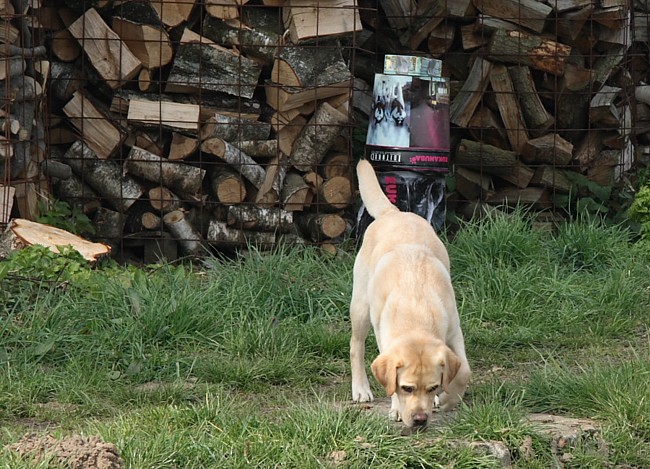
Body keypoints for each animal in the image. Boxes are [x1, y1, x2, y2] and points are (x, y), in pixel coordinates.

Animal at [352, 159, 468, 426]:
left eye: (433, 386)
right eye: (407, 388)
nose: (420, 419)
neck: (416, 311)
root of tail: (393, 213)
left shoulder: (454, 331)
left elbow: (464, 372)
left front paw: (446, 399)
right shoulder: (384, 339)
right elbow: (389, 379)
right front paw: (396, 408)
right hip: (361, 308)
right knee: (356, 346)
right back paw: (360, 389)